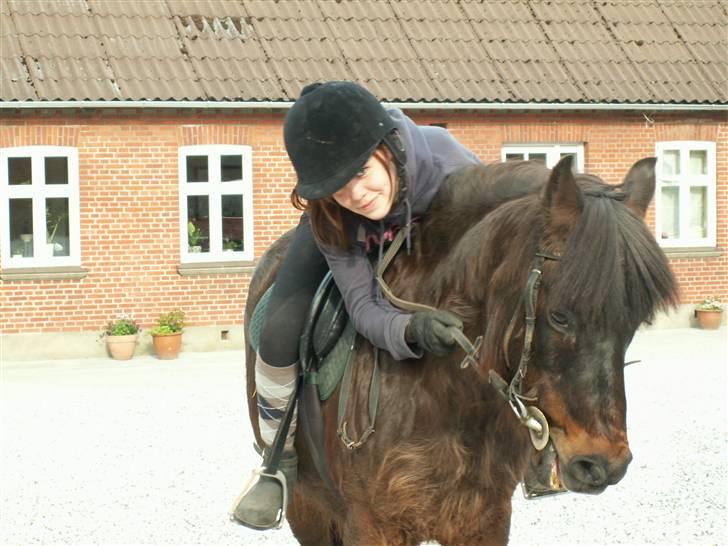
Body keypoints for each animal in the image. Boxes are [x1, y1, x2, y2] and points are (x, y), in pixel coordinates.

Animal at [243, 156, 678, 545]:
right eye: (559, 316)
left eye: (636, 320)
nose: (603, 464)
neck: (447, 396)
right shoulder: (371, 524)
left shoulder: (484, 519)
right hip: (308, 507)